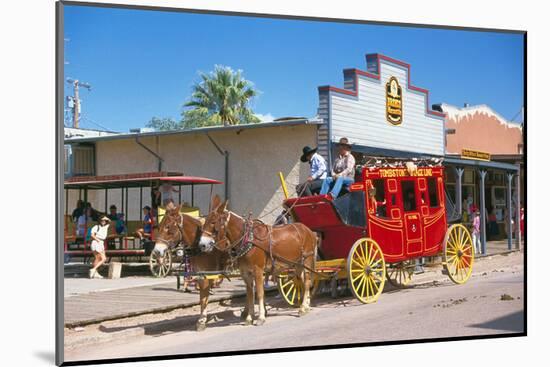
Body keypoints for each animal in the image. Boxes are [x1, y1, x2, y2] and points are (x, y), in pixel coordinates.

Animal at [199, 197, 320, 326]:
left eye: (213, 222)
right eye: (205, 222)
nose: (202, 244)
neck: (248, 239)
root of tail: (309, 231)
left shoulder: (258, 270)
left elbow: (260, 293)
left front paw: (261, 317)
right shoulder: (245, 273)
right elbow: (250, 294)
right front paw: (249, 317)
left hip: (307, 260)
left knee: (306, 282)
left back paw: (302, 308)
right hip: (297, 264)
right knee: (300, 281)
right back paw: (305, 305)